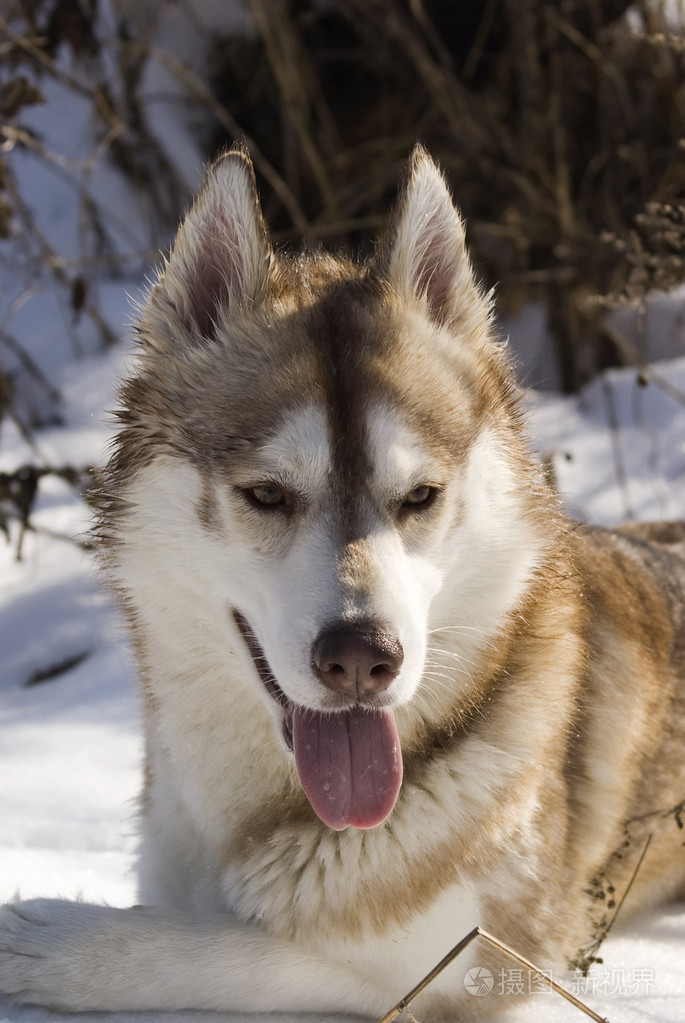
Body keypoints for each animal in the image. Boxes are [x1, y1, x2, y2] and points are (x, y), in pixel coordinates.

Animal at [1, 148, 685, 1018]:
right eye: (266, 494)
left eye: (419, 496)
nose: (362, 656)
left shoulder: (467, 965)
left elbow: (232, 949)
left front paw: (55, 934)